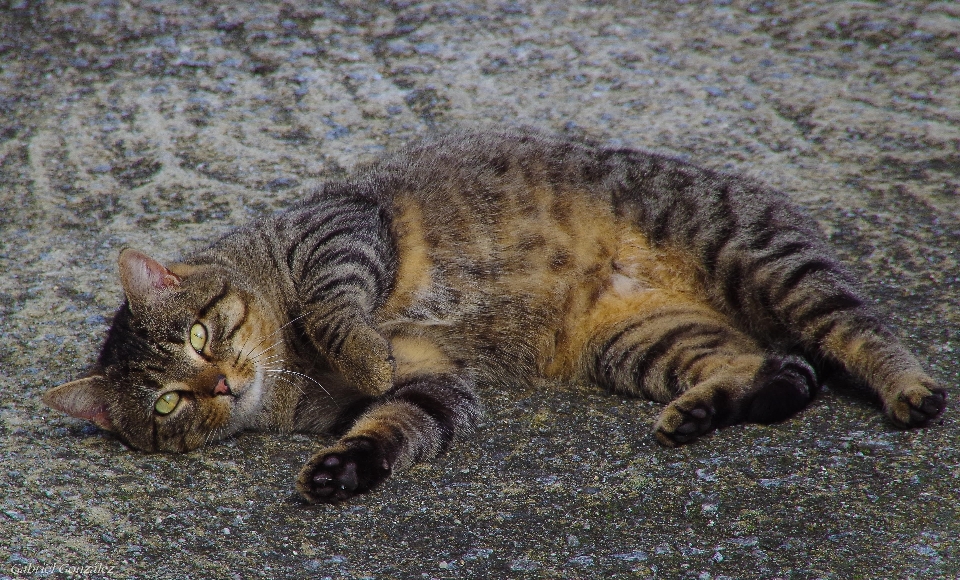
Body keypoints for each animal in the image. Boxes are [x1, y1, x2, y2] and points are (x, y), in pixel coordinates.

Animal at [43, 127, 944, 502]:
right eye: (168, 402)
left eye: (201, 335)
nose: (222, 386)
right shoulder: (436, 385)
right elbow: (395, 425)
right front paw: (345, 468)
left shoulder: (341, 231)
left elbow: (337, 309)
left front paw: (362, 352)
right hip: (643, 345)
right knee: (777, 371)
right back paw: (703, 410)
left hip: (763, 258)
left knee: (858, 329)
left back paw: (911, 389)